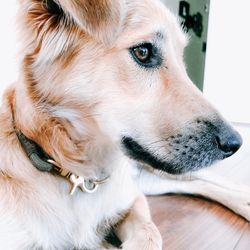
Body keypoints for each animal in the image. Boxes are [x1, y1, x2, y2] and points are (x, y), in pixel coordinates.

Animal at [0, 0, 243, 249]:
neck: (80, 176)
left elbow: (151, 233)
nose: (234, 143)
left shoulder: (133, 199)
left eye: (180, 57)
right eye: (143, 52)